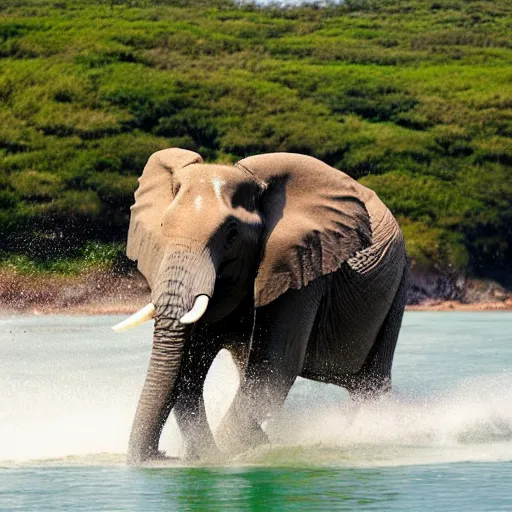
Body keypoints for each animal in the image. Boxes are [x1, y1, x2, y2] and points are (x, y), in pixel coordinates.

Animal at [114, 148, 410, 464]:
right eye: (161, 226)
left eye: (231, 235)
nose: (163, 455)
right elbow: (192, 366)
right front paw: (211, 455)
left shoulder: (301, 265)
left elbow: (273, 370)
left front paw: (233, 453)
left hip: (398, 281)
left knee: (372, 381)